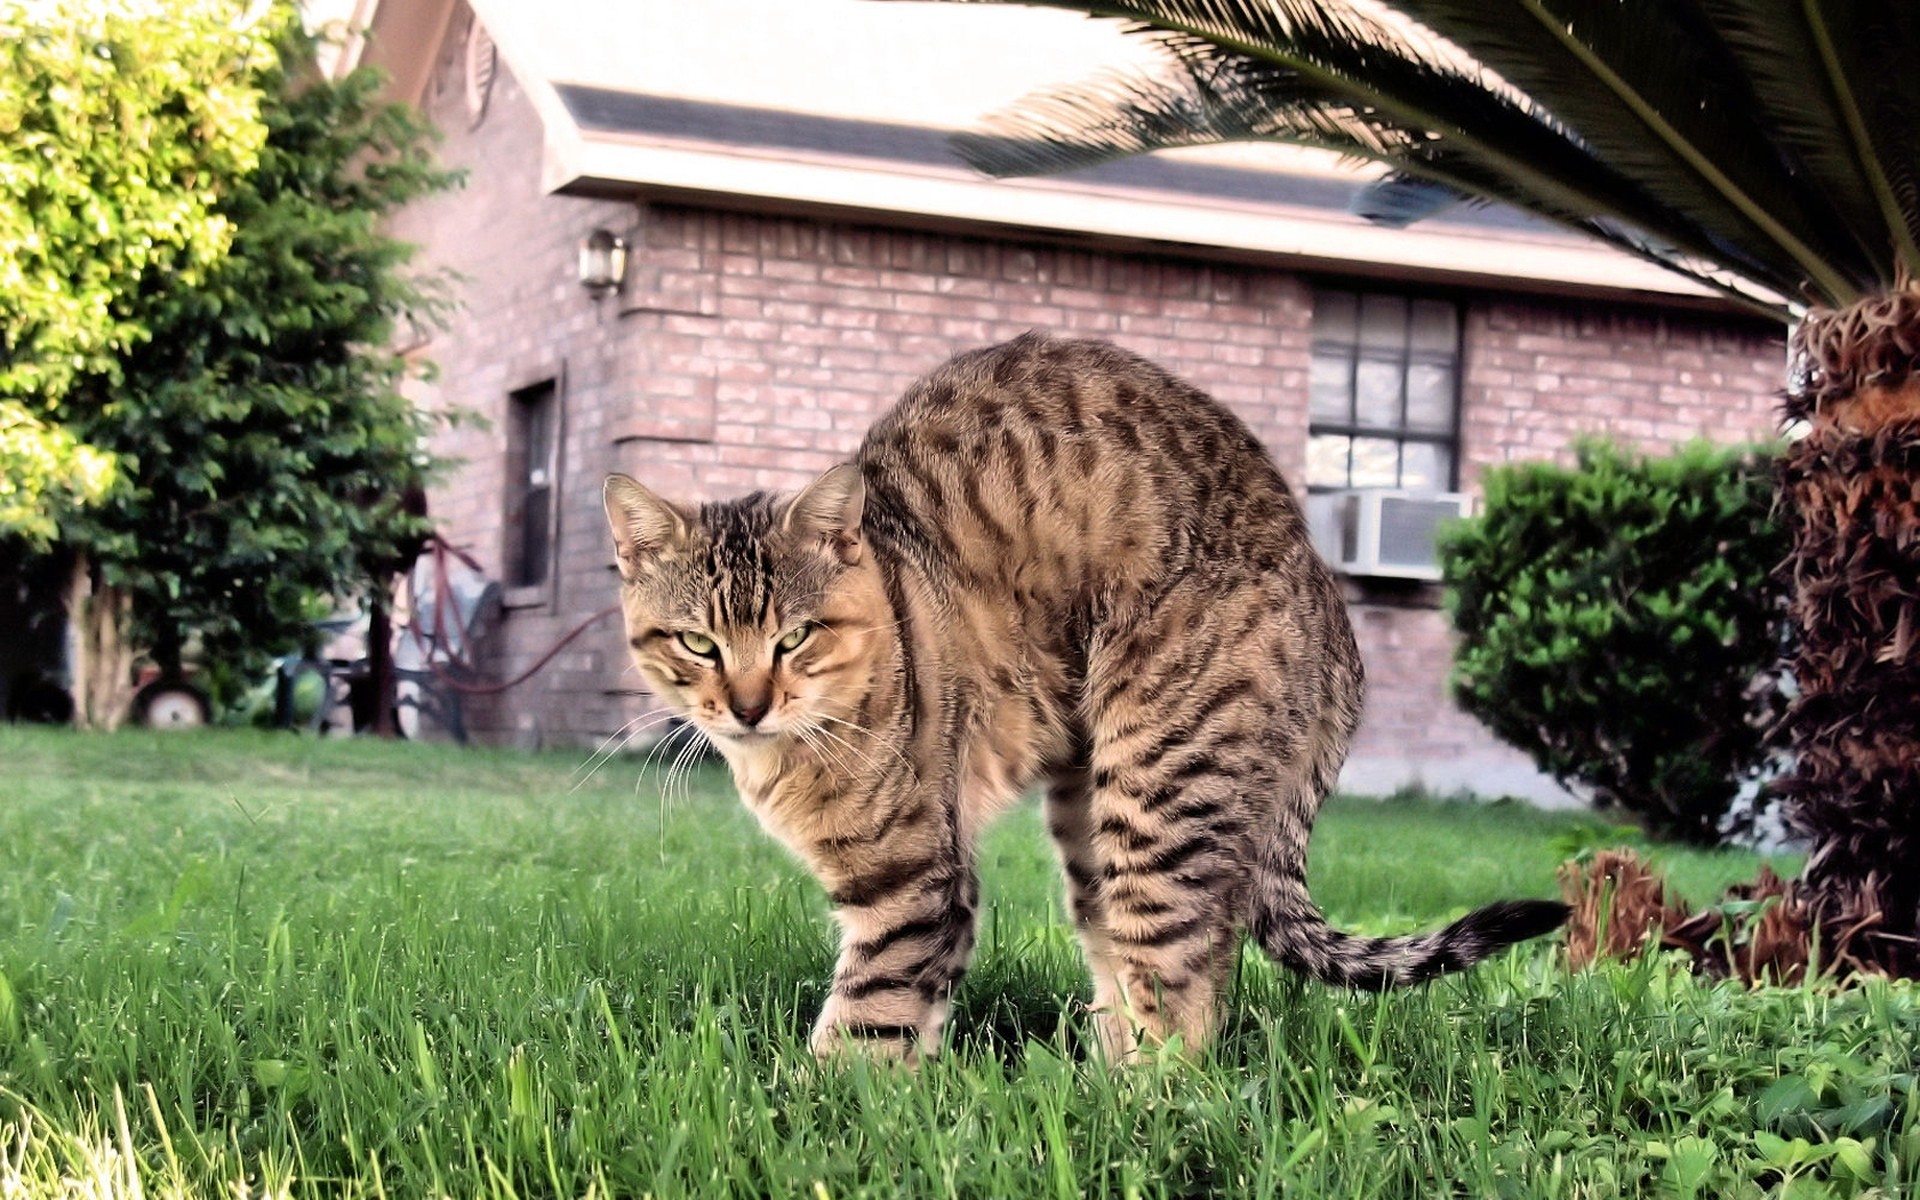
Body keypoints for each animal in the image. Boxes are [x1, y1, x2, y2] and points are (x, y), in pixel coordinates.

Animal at [606, 330, 1566, 1059]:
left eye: (794, 638)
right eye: (698, 643)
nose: (748, 705)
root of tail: (1329, 595)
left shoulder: (915, 886)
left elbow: (866, 1025)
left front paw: (825, 1120)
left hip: (1158, 788)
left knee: (1187, 986)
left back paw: (1132, 1106)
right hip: (1093, 817)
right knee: (1150, 967)